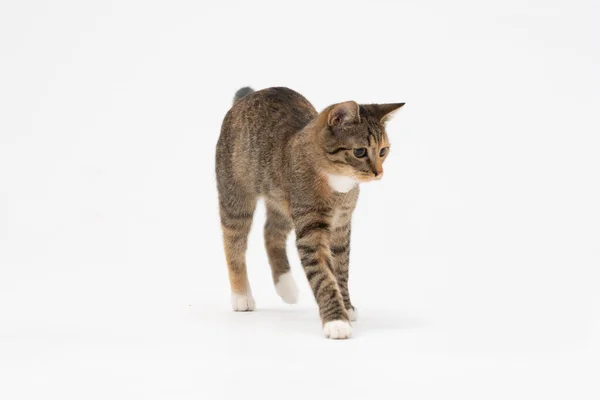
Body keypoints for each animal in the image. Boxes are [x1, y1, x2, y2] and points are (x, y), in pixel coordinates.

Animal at [213, 86, 406, 340]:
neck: (336, 179)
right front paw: (336, 320)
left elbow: (340, 269)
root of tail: (247, 97)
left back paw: (286, 287)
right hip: (236, 193)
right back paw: (241, 295)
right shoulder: (311, 229)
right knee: (233, 241)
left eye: (383, 151)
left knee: (271, 233)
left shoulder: (341, 226)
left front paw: (346, 306)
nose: (378, 173)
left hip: (283, 201)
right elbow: (324, 276)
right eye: (360, 151)